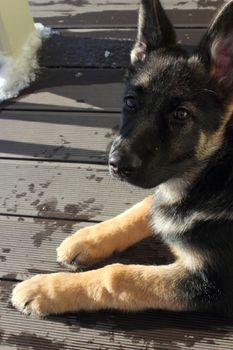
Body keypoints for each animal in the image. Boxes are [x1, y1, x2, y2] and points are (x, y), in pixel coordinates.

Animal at [12, 0, 233, 318]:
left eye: (181, 115)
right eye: (130, 102)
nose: (116, 165)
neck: (215, 169)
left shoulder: (213, 282)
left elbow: (117, 276)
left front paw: (46, 288)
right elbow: (143, 206)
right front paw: (89, 238)